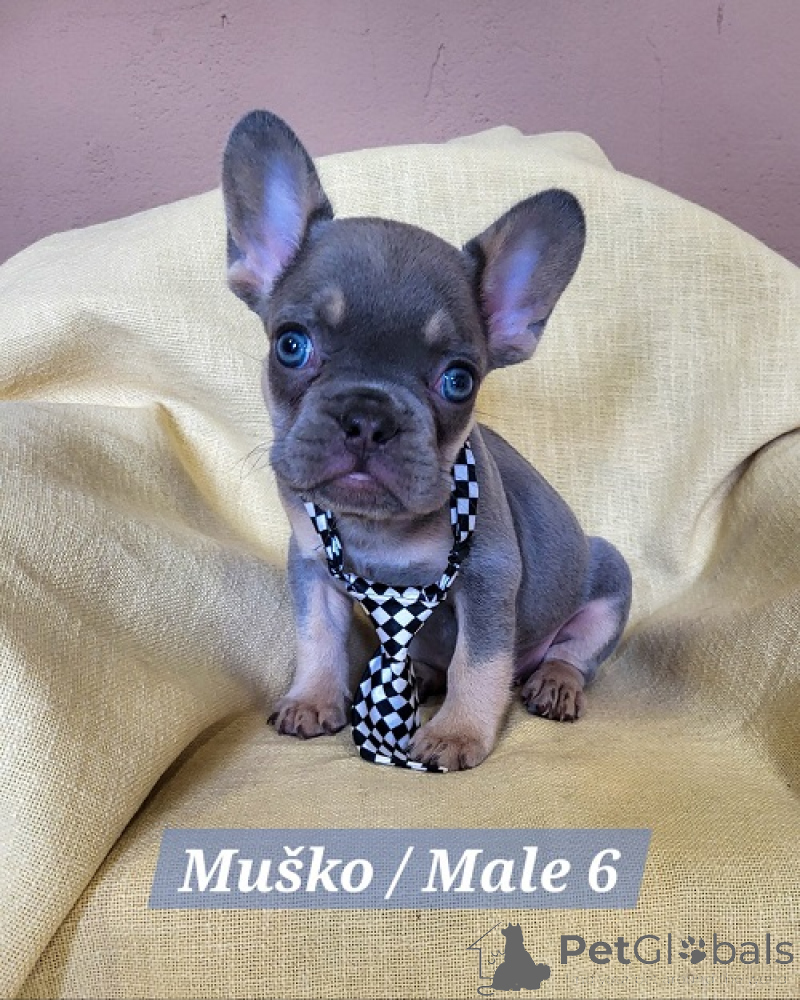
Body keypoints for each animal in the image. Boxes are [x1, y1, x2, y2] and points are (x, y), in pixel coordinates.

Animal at [221, 110, 632, 771]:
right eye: (291, 344)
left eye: (458, 380)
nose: (368, 415)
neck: (378, 528)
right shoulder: (311, 567)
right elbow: (317, 637)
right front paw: (313, 698)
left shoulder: (488, 575)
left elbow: (478, 663)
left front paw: (458, 733)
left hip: (609, 579)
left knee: (572, 654)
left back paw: (553, 683)